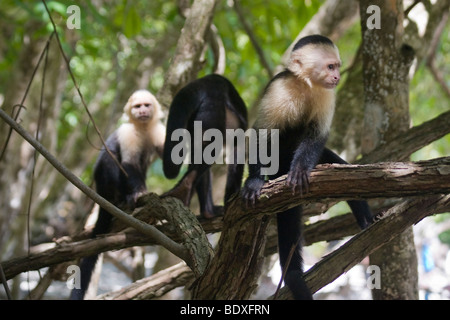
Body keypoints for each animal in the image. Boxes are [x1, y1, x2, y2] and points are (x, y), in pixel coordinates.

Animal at [71, 89, 166, 300]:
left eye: (146, 105)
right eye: (137, 107)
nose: (142, 112)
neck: (143, 127)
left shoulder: (158, 131)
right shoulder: (128, 133)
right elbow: (129, 164)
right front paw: (138, 193)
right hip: (105, 183)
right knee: (111, 159)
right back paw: (124, 198)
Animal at [163, 74, 248, 219]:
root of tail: (205, 83)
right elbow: (238, 154)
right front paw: (230, 200)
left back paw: (208, 211)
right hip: (213, 110)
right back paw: (183, 190)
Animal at [241, 35, 374, 300]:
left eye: (337, 67)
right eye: (330, 67)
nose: (337, 77)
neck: (306, 85)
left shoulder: (326, 95)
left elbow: (316, 137)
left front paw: (301, 170)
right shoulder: (278, 89)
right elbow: (262, 134)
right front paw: (254, 181)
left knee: (339, 165)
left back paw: (365, 218)